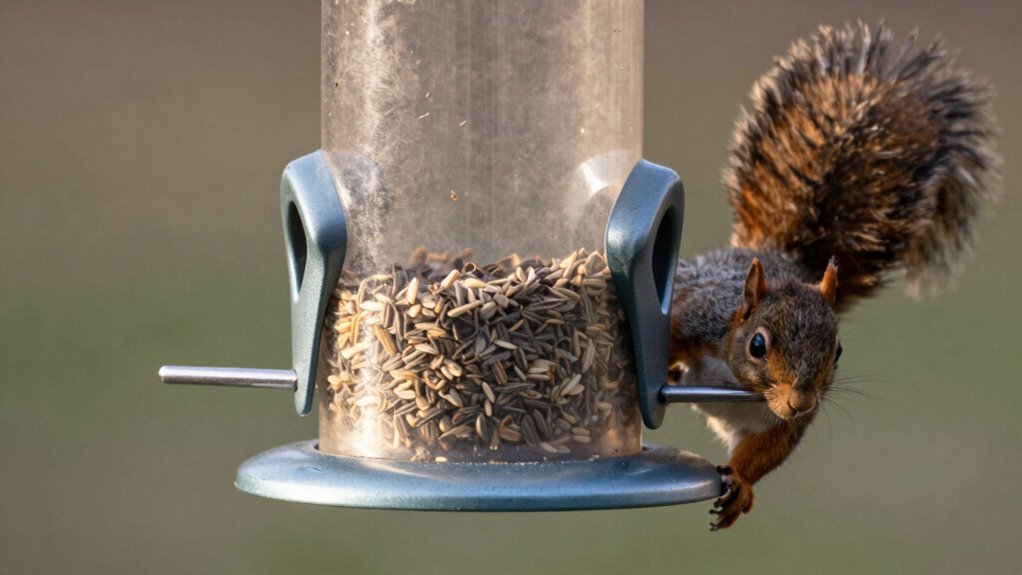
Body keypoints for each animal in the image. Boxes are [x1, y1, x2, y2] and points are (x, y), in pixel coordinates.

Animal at [667, 23, 1000, 530]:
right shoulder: (701, 314)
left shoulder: (779, 422)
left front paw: (740, 483)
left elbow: (767, 449)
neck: (740, 382)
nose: (801, 401)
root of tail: (770, 252)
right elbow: (673, 325)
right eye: (757, 345)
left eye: (838, 351)